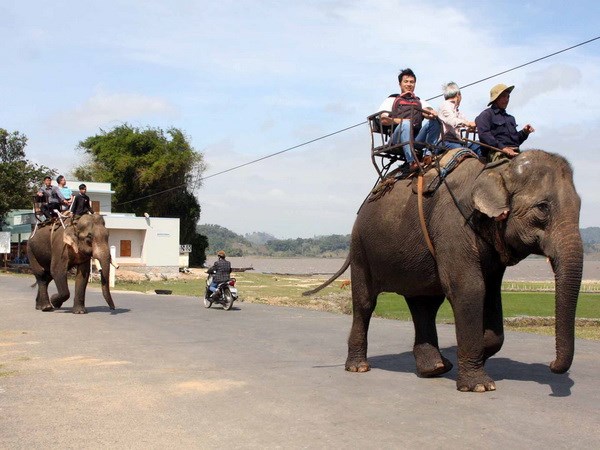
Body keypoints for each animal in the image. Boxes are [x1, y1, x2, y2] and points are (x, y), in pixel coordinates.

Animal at [304, 150, 580, 390]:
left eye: (580, 206)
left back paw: (435, 367)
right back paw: (359, 367)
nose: (552, 364)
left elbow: (491, 293)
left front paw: (475, 353)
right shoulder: (454, 226)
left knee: (424, 305)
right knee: (365, 303)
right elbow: (469, 288)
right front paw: (479, 386)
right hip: (361, 249)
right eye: (543, 208)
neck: (496, 168)